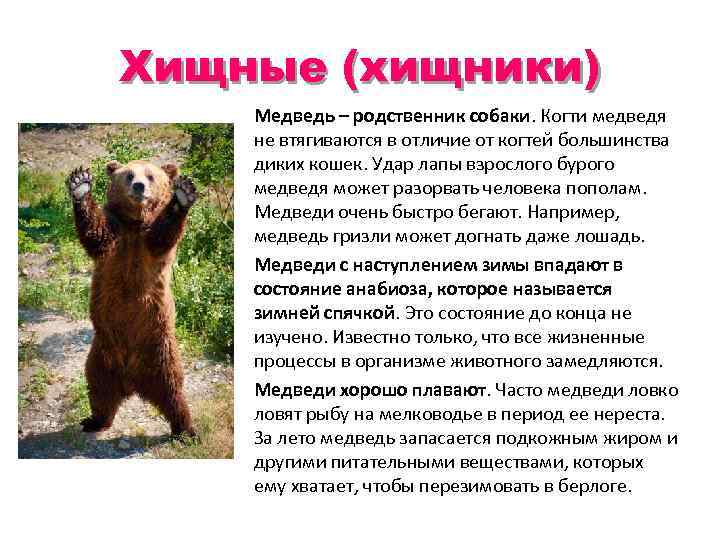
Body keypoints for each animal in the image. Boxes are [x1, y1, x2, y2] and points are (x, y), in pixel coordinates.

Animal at [67, 160, 198, 437]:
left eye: (150, 176)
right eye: (129, 175)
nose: (138, 186)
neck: (136, 222)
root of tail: (132, 380)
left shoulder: (150, 244)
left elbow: (164, 235)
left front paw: (183, 194)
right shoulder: (116, 234)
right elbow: (96, 233)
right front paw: (80, 184)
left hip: (160, 350)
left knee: (174, 393)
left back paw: (186, 430)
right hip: (101, 356)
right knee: (99, 390)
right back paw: (94, 421)